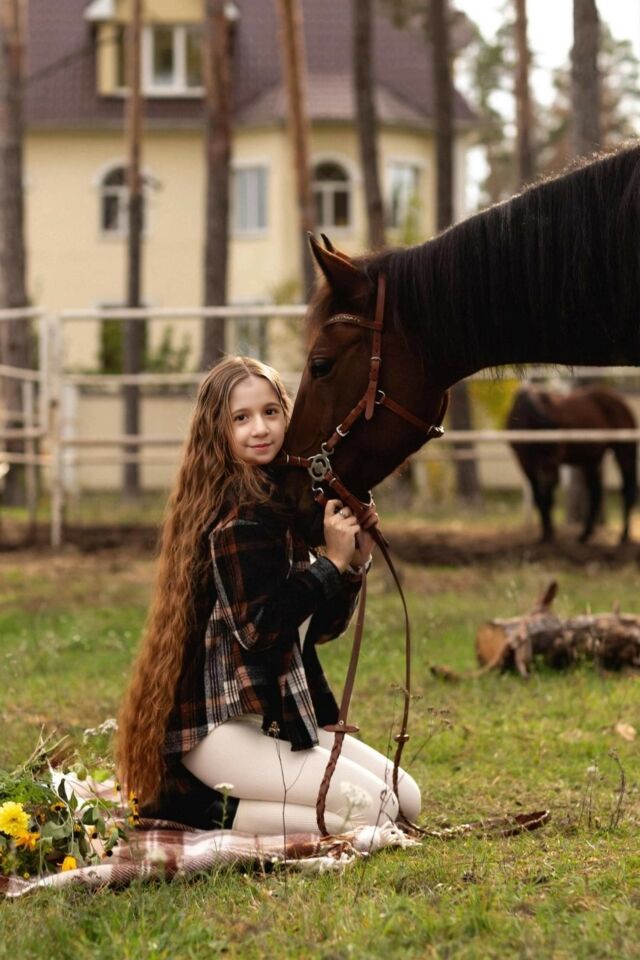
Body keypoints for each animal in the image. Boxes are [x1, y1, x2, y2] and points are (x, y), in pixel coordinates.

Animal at [506, 385, 638, 544]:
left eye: (558, 446)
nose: (553, 473)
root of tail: (621, 402)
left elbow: (547, 498)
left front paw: (549, 533)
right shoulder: (526, 463)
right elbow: (539, 497)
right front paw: (546, 533)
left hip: (624, 453)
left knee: (627, 491)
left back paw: (623, 535)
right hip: (591, 460)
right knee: (596, 493)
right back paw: (585, 534)